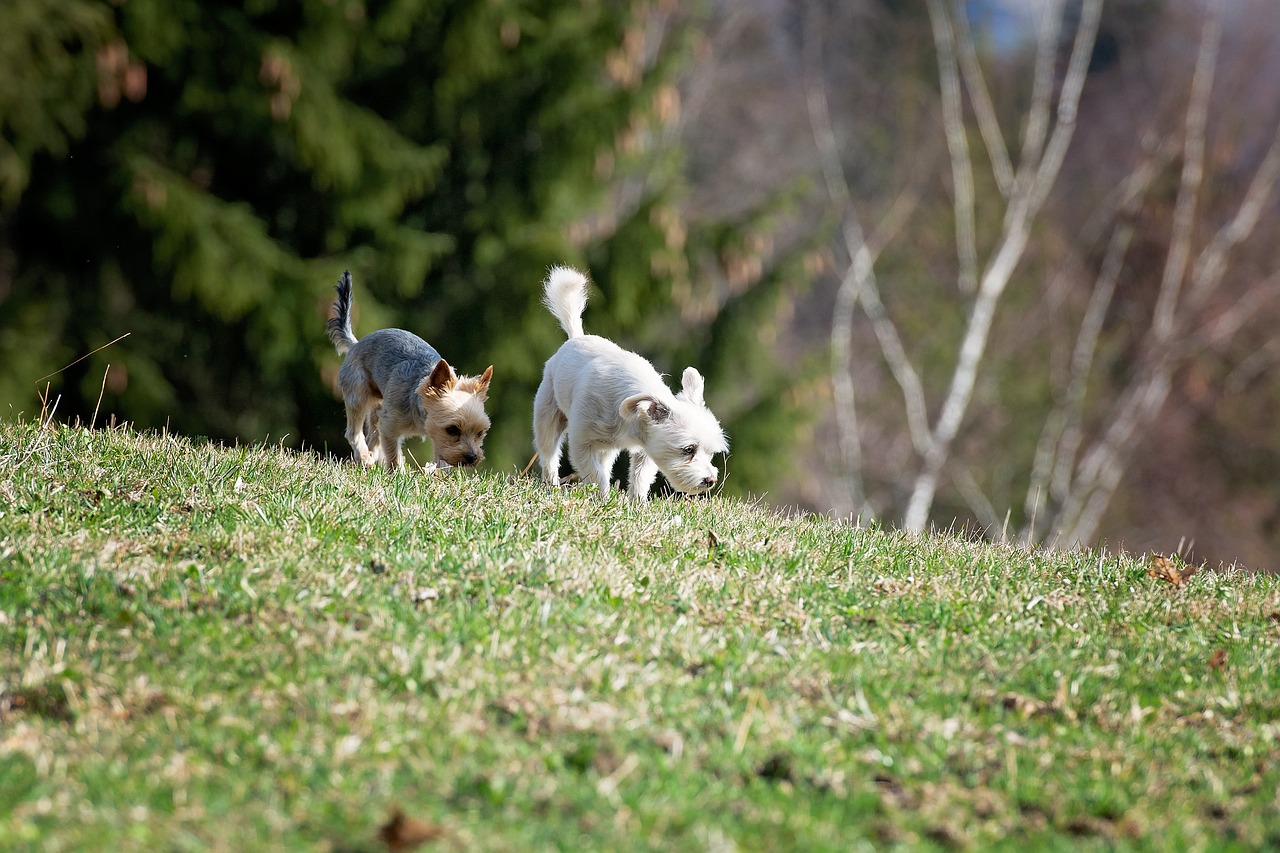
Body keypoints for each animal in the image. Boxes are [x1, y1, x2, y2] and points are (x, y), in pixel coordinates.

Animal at [327, 268, 491, 471]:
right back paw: (365, 458)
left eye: (480, 433)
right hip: (358, 393)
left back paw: (368, 459)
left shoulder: (436, 438)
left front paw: (436, 472)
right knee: (354, 431)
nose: (471, 457)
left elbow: (440, 456)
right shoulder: (390, 425)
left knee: (373, 432)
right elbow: (393, 453)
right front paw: (397, 472)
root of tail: (355, 344)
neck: (420, 412)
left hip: (378, 404)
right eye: (452, 430)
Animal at [532, 266, 732, 499]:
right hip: (547, 416)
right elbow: (596, 475)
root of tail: (576, 337)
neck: (628, 422)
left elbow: (639, 478)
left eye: (710, 453)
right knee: (549, 453)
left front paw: (636, 502)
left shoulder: (645, 449)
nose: (710, 480)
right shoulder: (581, 442)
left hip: (606, 447)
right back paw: (551, 483)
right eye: (688, 449)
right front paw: (603, 499)